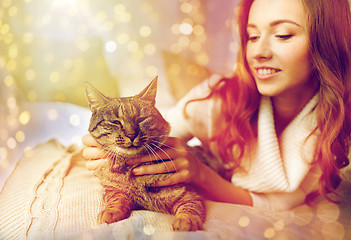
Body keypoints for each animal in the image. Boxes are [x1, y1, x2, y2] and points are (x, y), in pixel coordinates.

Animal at [84, 76, 206, 231]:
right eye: (115, 122)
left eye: (141, 119)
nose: (131, 134)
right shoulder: (114, 190)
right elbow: (117, 199)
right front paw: (110, 211)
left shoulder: (189, 194)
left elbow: (189, 208)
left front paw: (186, 221)